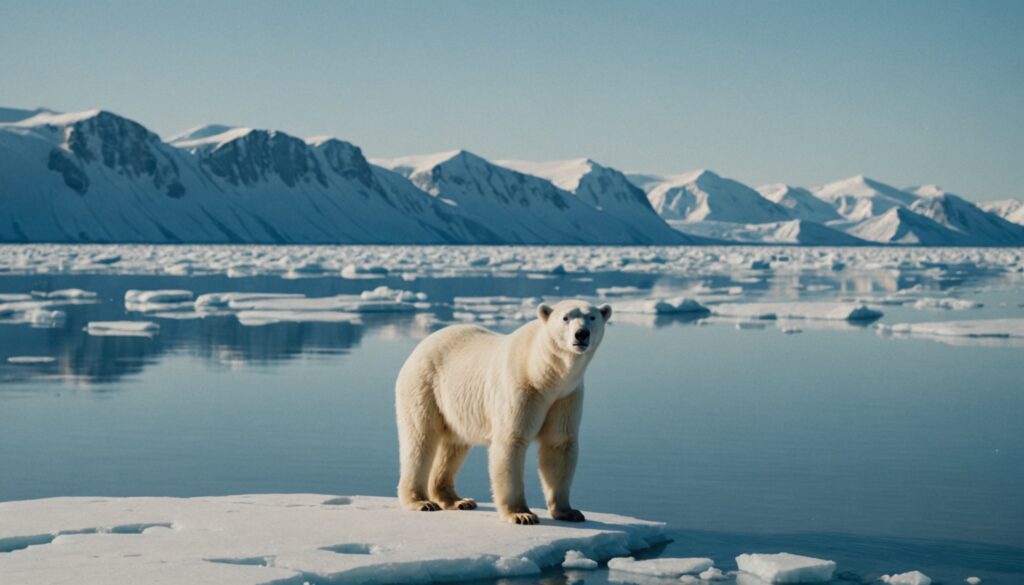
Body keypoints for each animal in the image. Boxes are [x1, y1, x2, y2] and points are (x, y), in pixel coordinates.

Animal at [395, 299, 610, 524]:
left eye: (592, 317)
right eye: (565, 317)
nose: (581, 334)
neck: (542, 373)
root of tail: (419, 347)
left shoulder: (566, 396)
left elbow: (559, 443)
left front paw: (569, 512)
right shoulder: (521, 387)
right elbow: (511, 442)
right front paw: (521, 514)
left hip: (454, 406)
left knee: (454, 445)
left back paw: (457, 500)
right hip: (425, 387)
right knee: (420, 440)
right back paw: (421, 501)